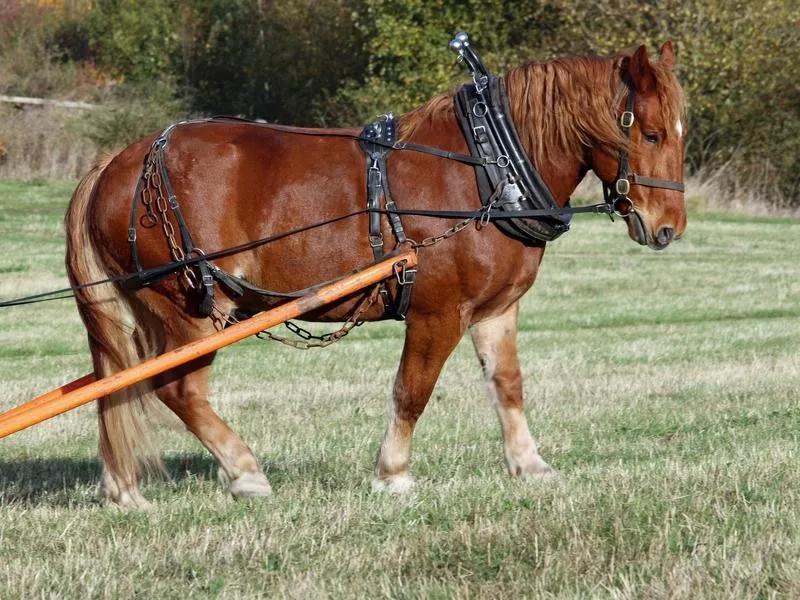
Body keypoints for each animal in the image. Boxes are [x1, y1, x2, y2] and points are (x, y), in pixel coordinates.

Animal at [64, 41, 688, 506]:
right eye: (650, 133)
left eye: (680, 132)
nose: (668, 229)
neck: (491, 172)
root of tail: (119, 163)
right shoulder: (439, 312)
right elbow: (412, 391)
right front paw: (393, 473)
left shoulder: (495, 310)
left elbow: (507, 385)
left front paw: (529, 464)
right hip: (191, 307)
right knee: (177, 388)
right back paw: (245, 472)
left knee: (116, 386)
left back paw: (123, 490)